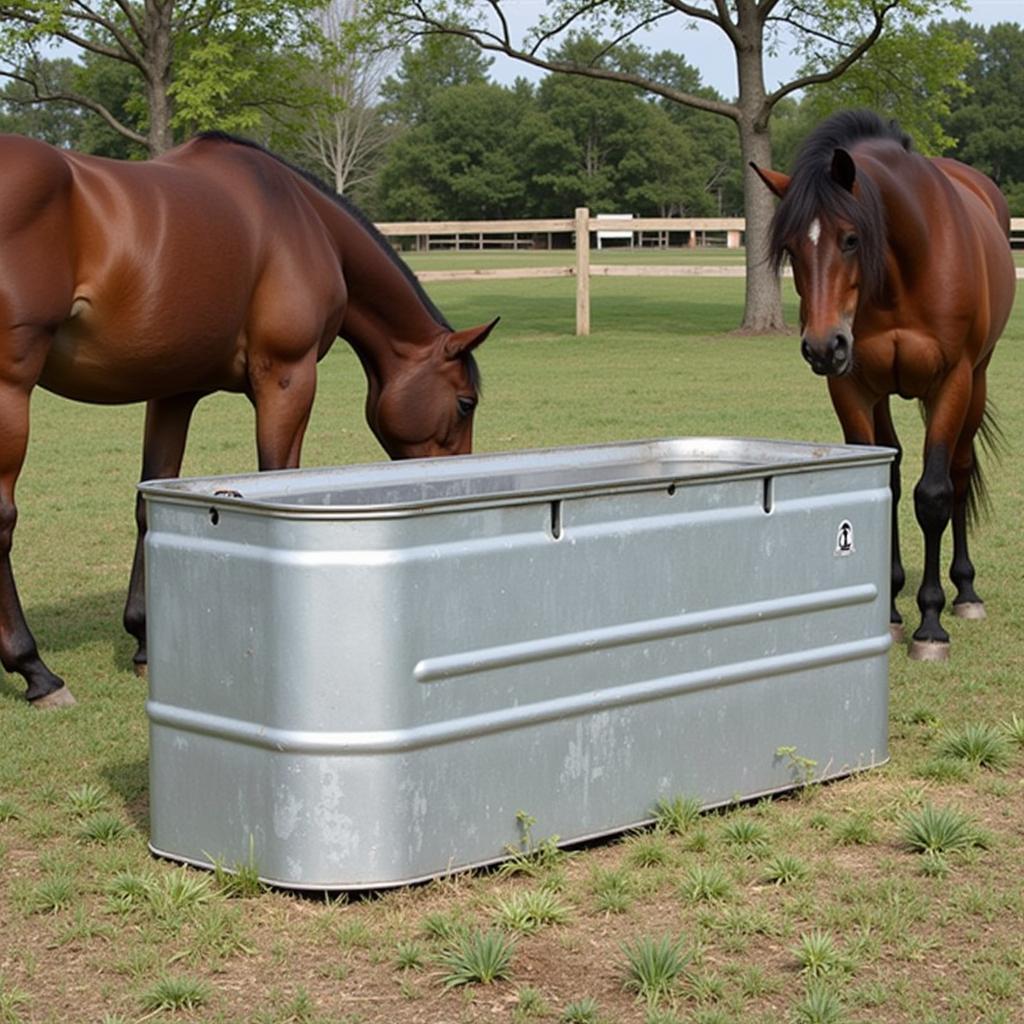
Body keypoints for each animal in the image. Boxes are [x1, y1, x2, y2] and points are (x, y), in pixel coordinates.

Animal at [0, 132, 495, 708]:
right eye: (465, 403)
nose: (462, 481)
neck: (304, 221)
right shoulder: (287, 378)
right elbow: (277, 480)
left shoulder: (174, 392)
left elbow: (150, 502)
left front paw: (145, 642)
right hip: (11, 389)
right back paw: (38, 673)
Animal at [753, 105, 1015, 663]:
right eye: (789, 247)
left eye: (851, 238)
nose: (822, 346)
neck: (905, 269)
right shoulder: (854, 388)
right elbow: (881, 486)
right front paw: (891, 615)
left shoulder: (951, 383)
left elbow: (933, 495)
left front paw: (930, 625)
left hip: (977, 382)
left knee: (960, 473)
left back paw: (966, 592)